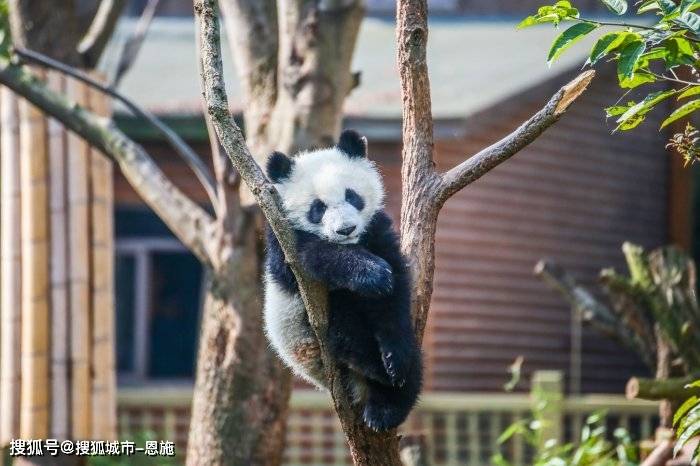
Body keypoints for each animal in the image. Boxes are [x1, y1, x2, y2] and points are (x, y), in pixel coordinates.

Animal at [266, 129, 424, 432]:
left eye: (352, 196)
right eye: (317, 208)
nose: (346, 229)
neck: (355, 243)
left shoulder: (376, 230)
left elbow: (394, 296)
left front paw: (394, 358)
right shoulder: (283, 239)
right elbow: (314, 255)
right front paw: (372, 274)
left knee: (410, 366)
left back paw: (387, 405)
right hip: (306, 331)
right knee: (345, 327)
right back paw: (375, 369)